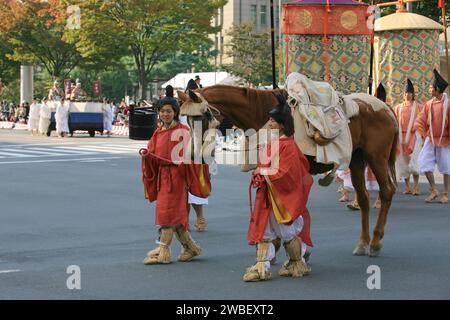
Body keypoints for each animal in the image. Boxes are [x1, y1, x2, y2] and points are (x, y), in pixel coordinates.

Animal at [178, 85, 400, 258]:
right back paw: (363, 242)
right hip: (357, 159)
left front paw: (286, 247)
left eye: (202, 117)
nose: (193, 153)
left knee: (387, 191)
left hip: (377, 158)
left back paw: (375, 242)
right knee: (363, 198)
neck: (261, 114)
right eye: (187, 120)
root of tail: (385, 107)